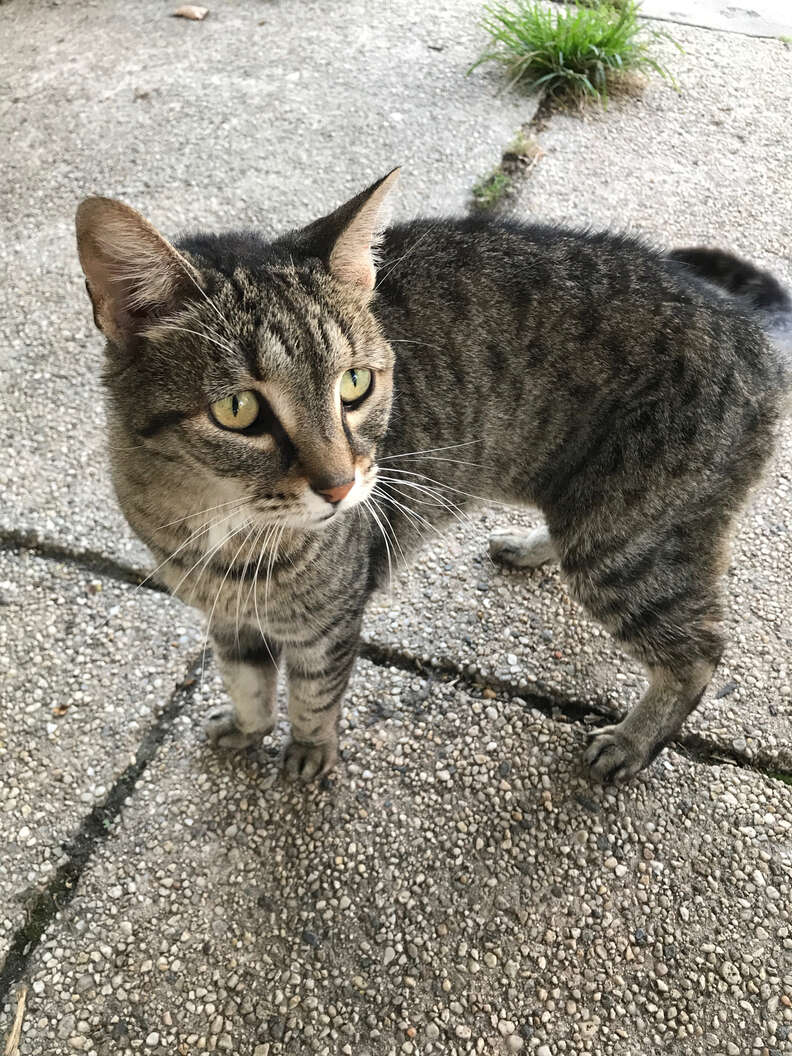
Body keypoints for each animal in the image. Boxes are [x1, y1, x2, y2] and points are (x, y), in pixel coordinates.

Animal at [72, 171, 789, 785]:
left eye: (354, 384)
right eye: (238, 410)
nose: (340, 487)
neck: (224, 529)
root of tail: (752, 330)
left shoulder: (328, 623)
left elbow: (313, 697)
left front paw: (308, 754)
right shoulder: (227, 618)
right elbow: (246, 682)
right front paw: (249, 730)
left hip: (628, 542)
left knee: (699, 654)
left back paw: (634, 742)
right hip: (598, 519)